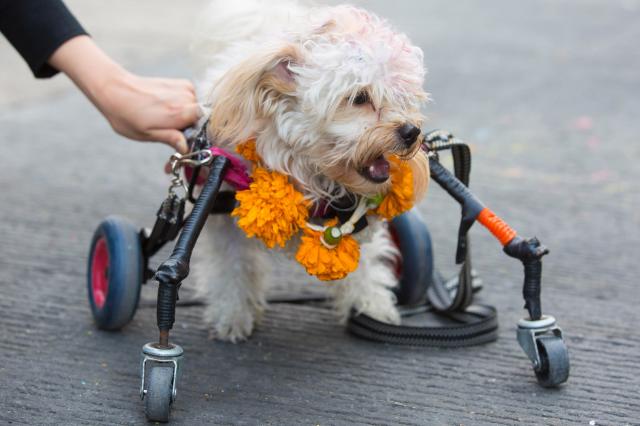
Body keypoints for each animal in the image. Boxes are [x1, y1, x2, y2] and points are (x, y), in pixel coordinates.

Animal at [190, 0, 430, 340]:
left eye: (404, 98)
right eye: (359, 98)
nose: (411, 131)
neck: (309, 172)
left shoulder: (356, 221)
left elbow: (365, 268)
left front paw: (371, 306)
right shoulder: (225, 220)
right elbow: (232, 268)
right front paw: (233, 315)